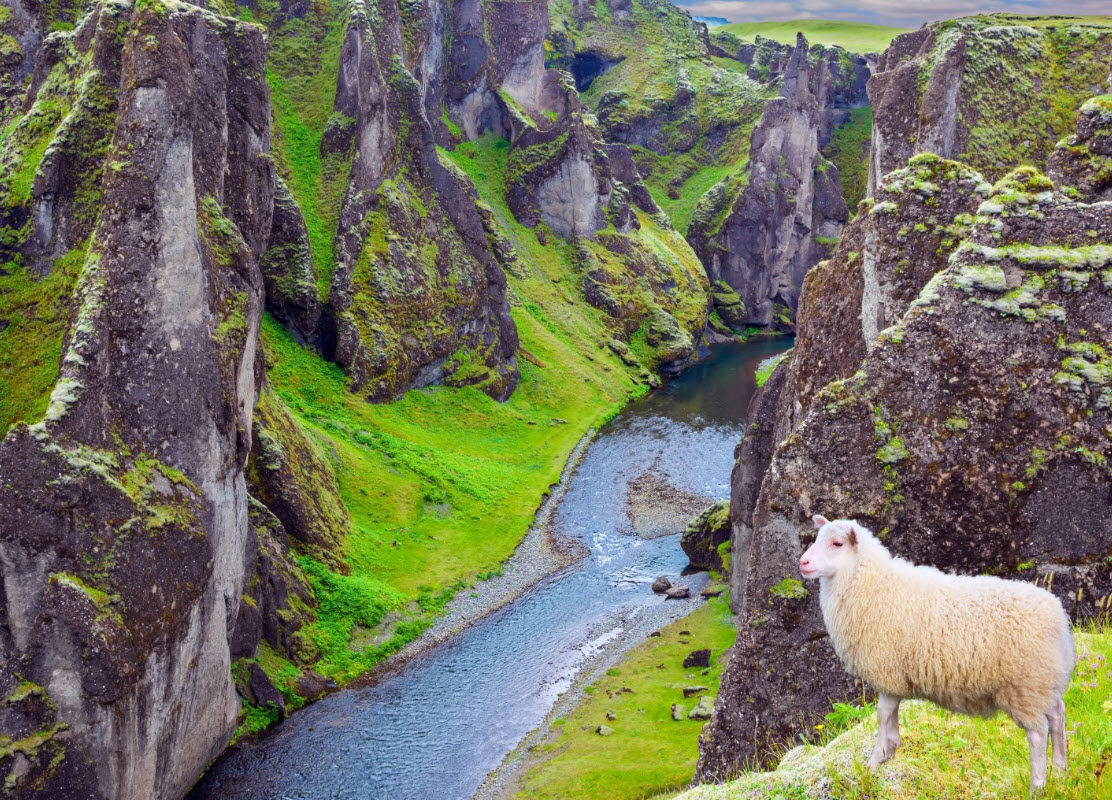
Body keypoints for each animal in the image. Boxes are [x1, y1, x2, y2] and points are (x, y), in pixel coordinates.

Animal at [800, 516, 1076, 792]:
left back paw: (1038, 786)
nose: (803, 562)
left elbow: (881, 715)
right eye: (817, 538)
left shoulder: (887, 671)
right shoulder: (895, 678)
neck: (873, 584)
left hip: (1024, 686)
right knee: (1057, 715)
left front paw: (874, 762)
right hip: (1043, 681)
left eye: (837, 543)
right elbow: (891, 716)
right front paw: (890, 751)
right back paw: (1060, 771)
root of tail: (1058, 614)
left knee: (1038, 733)